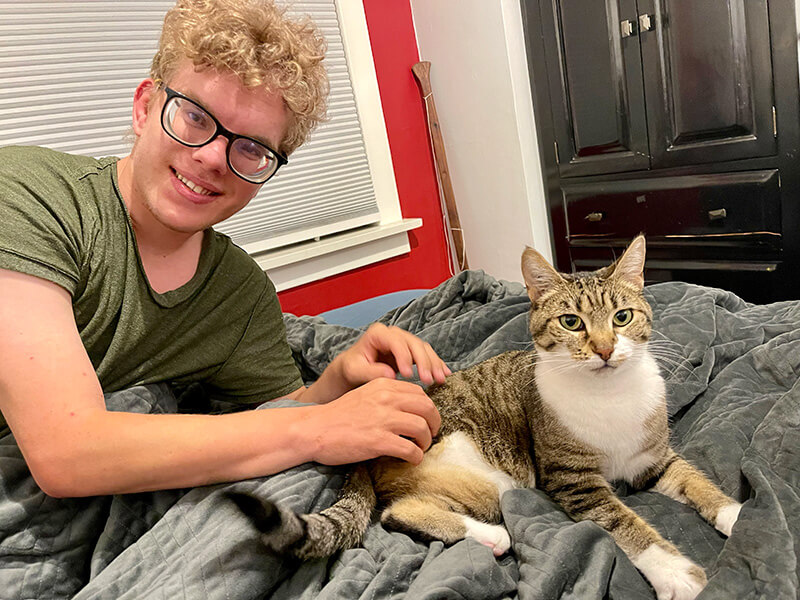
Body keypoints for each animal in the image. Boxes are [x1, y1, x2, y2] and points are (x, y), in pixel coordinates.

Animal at [228, 237, 740, 600]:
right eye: (571, 323)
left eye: (622, 317)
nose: (604, 350)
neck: (609, 394)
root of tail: (368, 452)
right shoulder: (572, 479)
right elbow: (623, 522)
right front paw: (675, 572)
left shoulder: (652, 459)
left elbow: (695, 481)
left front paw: (735, 514)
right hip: (494, 478)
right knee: (397, 511)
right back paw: (492, 537)